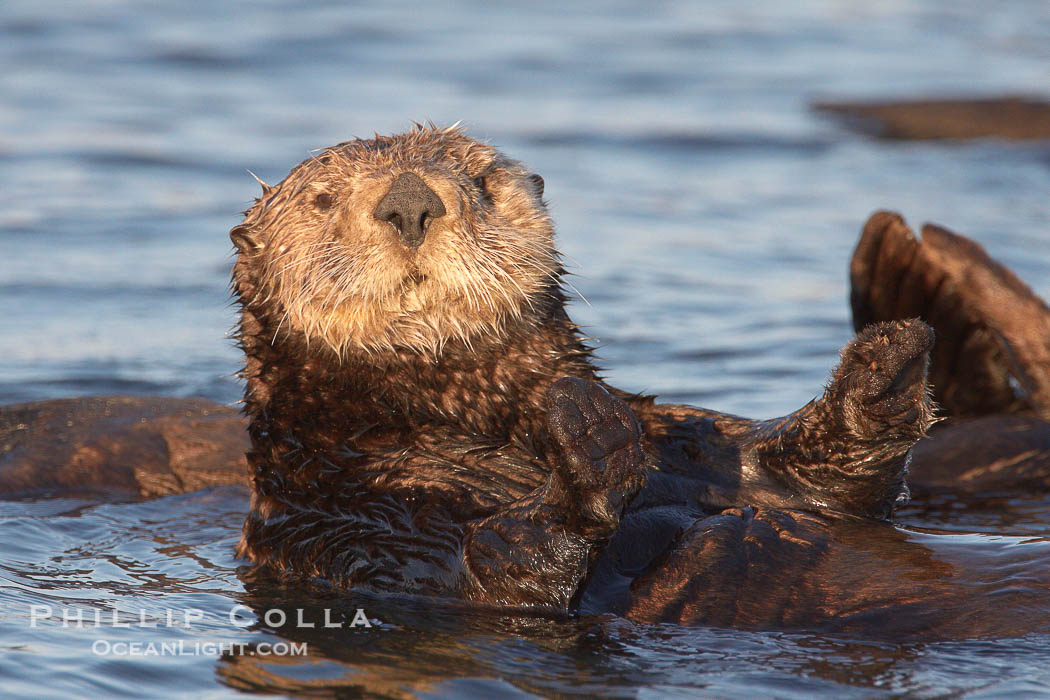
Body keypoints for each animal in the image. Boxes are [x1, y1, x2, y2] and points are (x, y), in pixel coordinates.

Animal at [228, 125, 938, 622]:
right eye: (322, 200)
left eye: (480, 180)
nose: (409, 204)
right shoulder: (343, 524)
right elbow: (498, 577)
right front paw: (589, 435)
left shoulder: (691, 441)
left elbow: (828, 487)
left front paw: (885, 364)